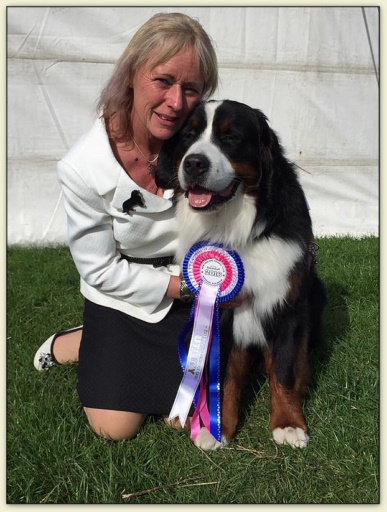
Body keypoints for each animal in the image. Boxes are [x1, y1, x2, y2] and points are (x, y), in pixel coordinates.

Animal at [155, 98, 328, 450]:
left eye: (231, 137)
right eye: (188, 136)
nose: (194, 164)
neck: (236, 230)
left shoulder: (288, 306)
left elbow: (285, 369)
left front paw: (288, 424)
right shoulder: (220, 309)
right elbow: (223, 372)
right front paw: (216, 426)